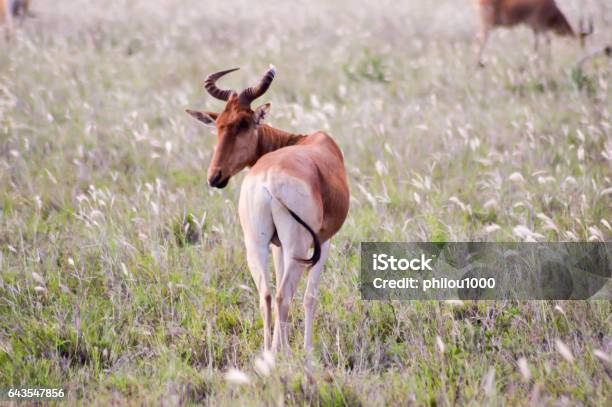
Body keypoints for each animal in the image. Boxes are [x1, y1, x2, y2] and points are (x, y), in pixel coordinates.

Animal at [185, 66, 350, 356]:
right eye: (219, 125)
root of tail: (269, 179)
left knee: (266, 295)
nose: (215, 177)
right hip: (298, 246)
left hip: (255, 243)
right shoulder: (324, 241)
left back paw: (268, 353)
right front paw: (307, 350)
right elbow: (309, 296)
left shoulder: (276, 245)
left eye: (243, 123)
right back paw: (281, 354)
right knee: (284, 295)